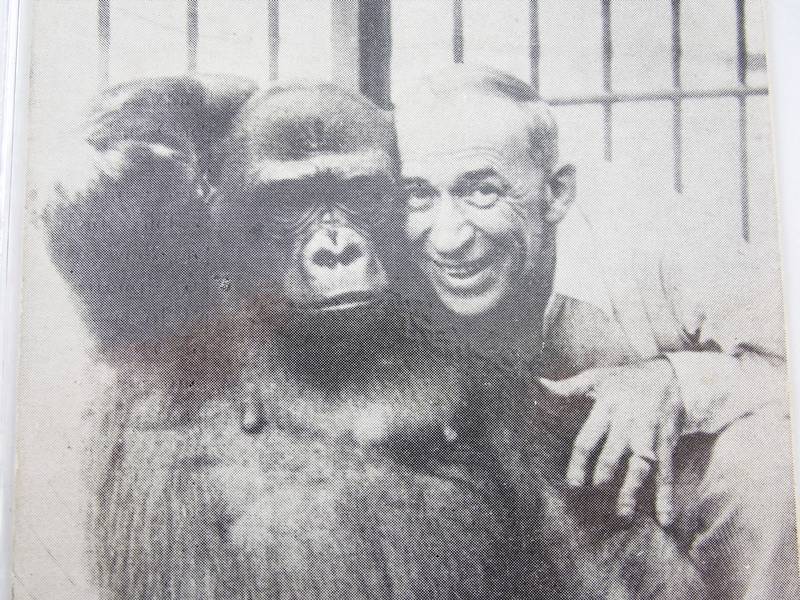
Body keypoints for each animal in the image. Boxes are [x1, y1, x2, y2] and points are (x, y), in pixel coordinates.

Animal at [44, 76, 707, 600]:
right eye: (290, 200)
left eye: (358, 192)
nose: (336, 249)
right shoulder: (148, 278)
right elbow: (110, 190)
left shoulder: (491, 356)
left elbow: (579, 531)